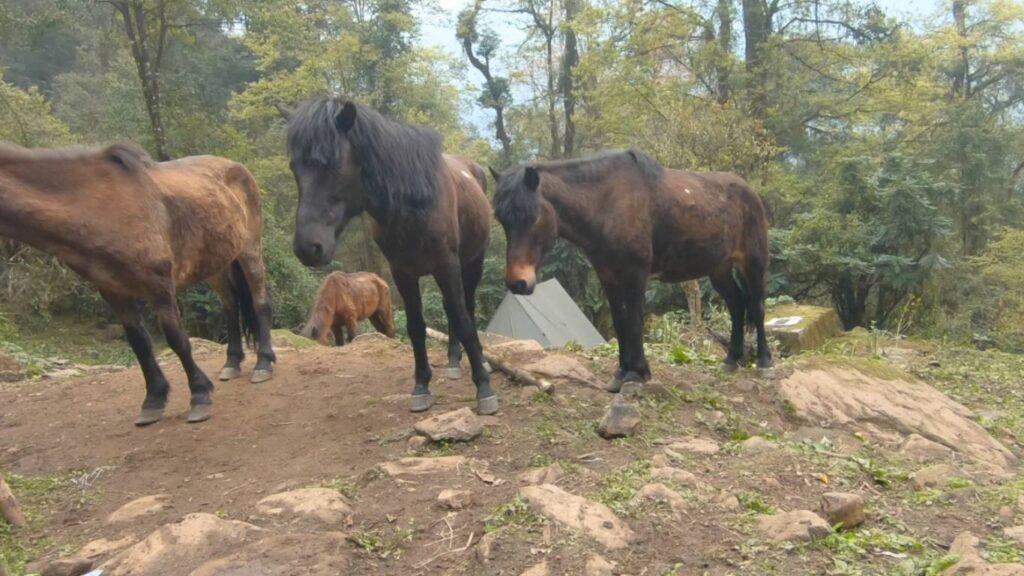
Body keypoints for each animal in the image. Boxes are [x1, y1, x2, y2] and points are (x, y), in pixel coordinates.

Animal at [0, 141, 276, 424]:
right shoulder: (114, 291)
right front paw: (153, 399)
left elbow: (177, 339)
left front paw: (199, 395)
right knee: (231, 306)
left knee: (260, 302)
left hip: (249, 250)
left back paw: (263, 364)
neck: (98, 206)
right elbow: (139, 343)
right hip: (214, 263)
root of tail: (237, 167)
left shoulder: (160, 286)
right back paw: (232, 363)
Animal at [278, 99, 497, 412]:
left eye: (333, 164)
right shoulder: (402, 273)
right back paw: (454, 361)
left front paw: (484, 388)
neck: (413, 204)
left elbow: (464, 321)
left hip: (472, 263)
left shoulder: (447, 266)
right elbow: (416, 328)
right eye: (294, 167)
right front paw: (421, 386)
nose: (308, 248)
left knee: (465, 308)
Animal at [491, 147, 770, 389]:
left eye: (533, 216)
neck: (607, 204)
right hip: (719, 269)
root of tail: (751, 192)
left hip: (754, 263)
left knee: (756, 306)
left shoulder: (636, 275)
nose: (517, 282)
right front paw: (621, 372)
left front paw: (637, 373)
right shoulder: (608, 276)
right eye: (501, 219)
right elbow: (620, 321)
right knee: (737, 305)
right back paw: (732, 360)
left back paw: (765, 362)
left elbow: (635, 321)